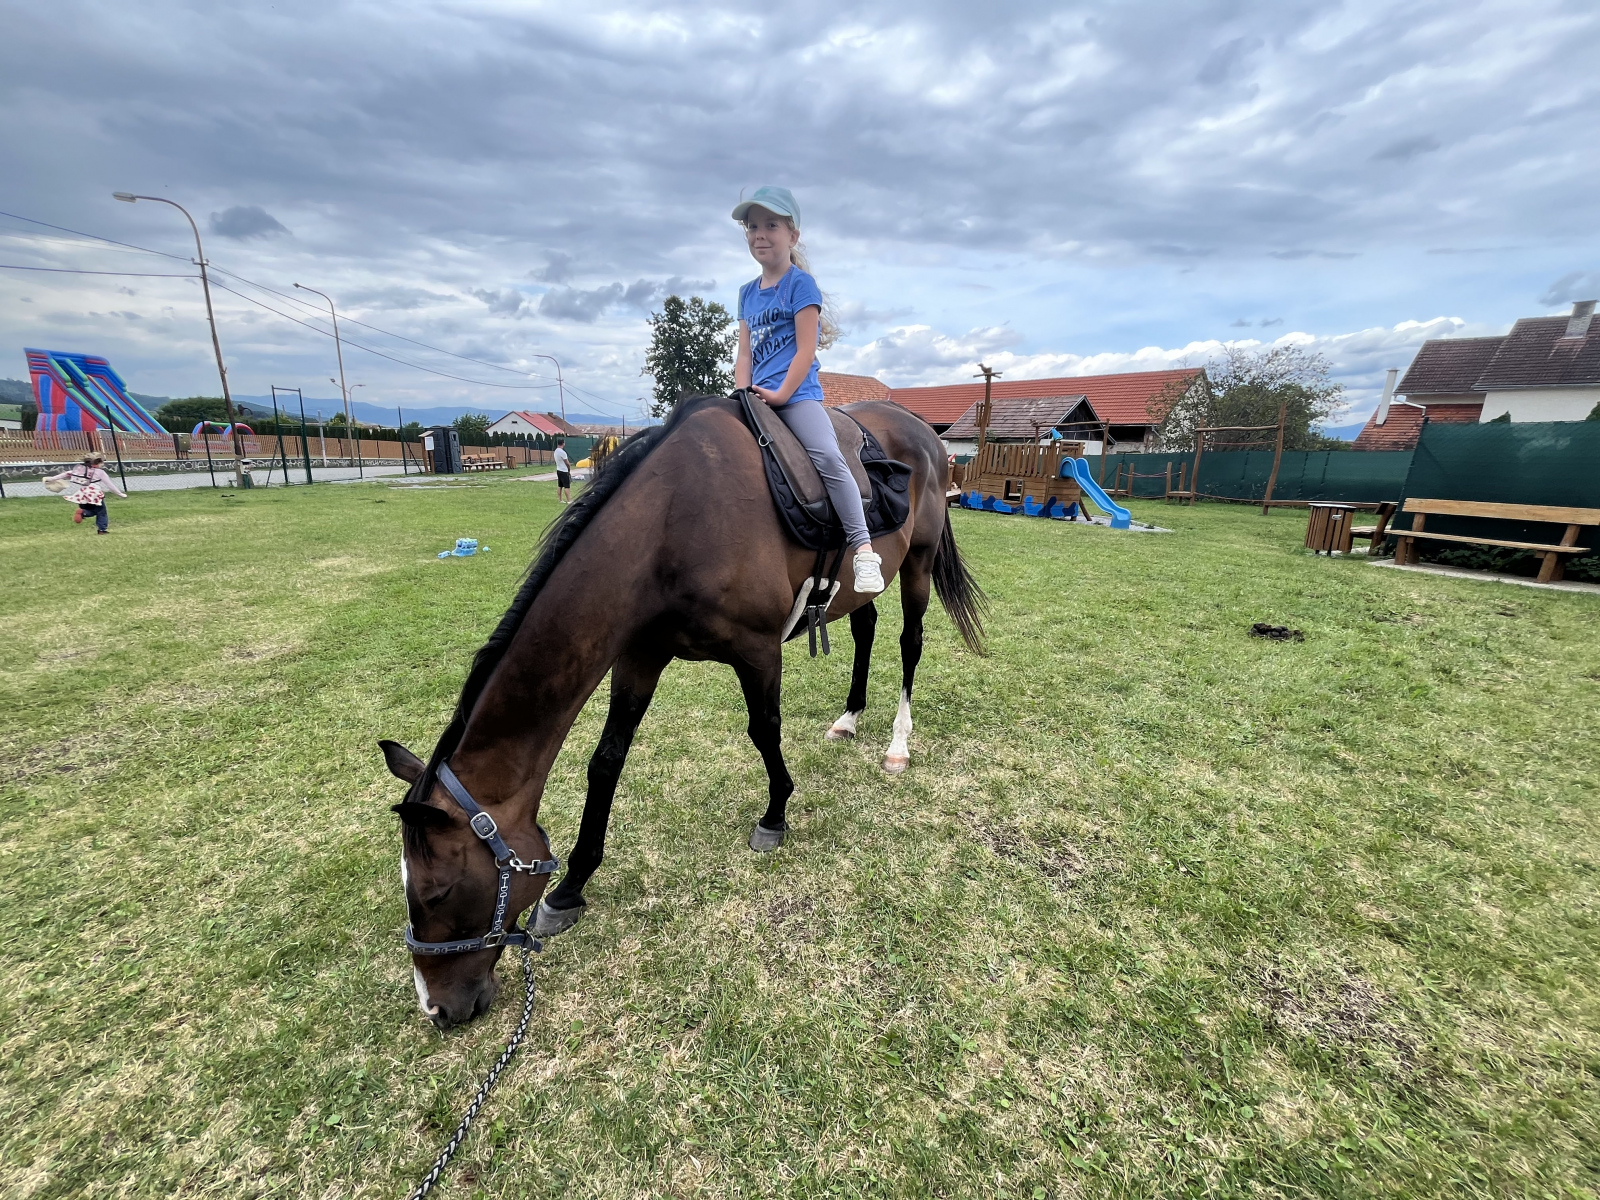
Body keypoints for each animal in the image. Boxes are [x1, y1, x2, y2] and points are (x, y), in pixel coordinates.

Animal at [381, 393, 986, 1028]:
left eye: (437, 893)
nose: (436, 1008)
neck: (671, 523)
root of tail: (921, 431)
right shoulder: (640, 655)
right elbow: (606, 761)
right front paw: (571, 886)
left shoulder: (757, 648)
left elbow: (764, 731)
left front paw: (775, 814)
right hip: (856, 587)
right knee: (865, 628)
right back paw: (849, 717)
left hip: (918, 562)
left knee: (909, 643)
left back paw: (897, 743)